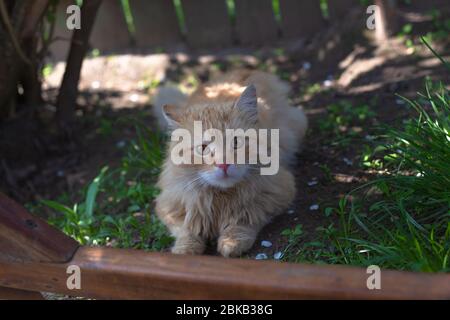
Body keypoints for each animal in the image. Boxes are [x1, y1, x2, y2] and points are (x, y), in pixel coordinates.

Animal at [153, 70, 308, 258]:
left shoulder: (277, 192)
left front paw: (231, 243)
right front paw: (184, 251)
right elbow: (186, 230)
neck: (221, 197)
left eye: (236, 142)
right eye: (203, 148)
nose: (224, 164)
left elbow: (244, 218)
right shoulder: (170, 206)